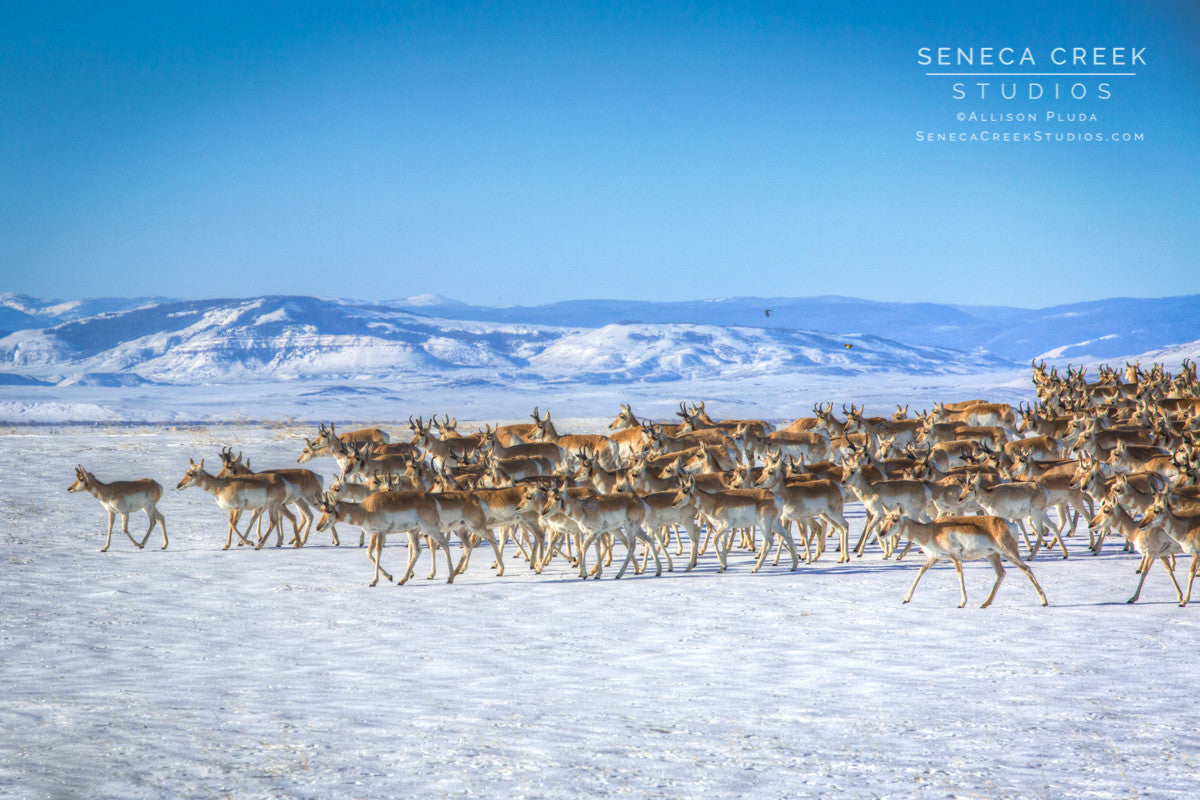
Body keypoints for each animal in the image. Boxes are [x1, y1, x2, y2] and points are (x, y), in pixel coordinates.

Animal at [878, 510, 1048, 608]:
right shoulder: (935, 558)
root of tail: (1007, 523)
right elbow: (920, 571)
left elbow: (960, 575)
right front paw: (906, 599)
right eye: (884, 519)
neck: (931, 530)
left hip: (1008, 552)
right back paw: (985, 603)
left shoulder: (955, 556)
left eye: (894, 519)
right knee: (1001, 573)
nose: (881, 533)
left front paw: (962, 603)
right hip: (993, 555)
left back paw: (1044, 601)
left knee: (1026, 568)